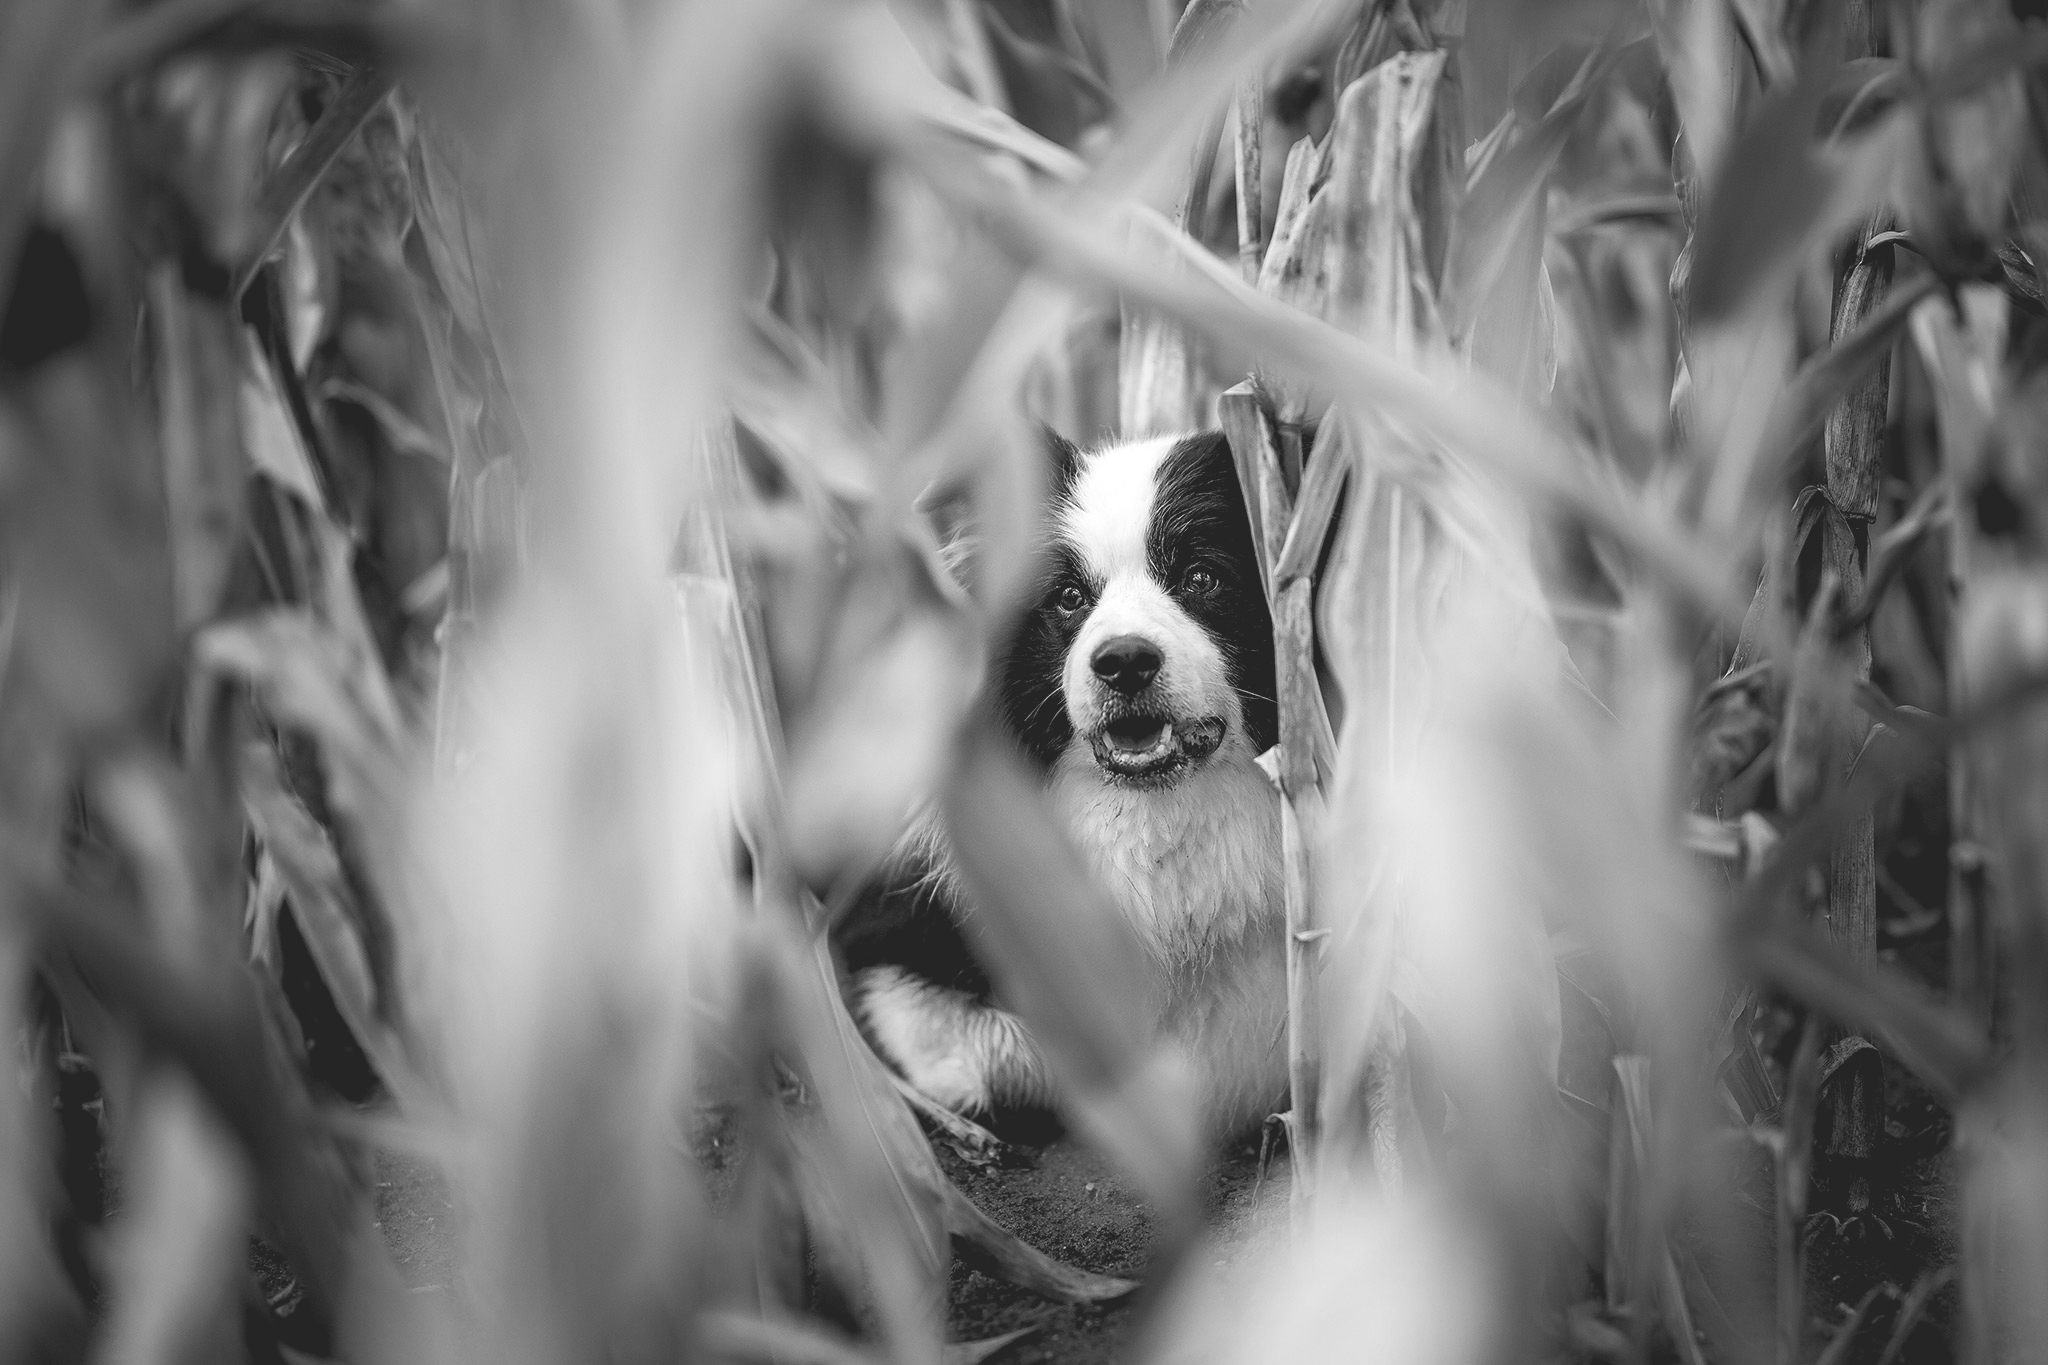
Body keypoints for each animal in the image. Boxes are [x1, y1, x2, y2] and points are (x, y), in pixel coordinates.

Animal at [827, 431, 1277, 1137]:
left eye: (1202, 578)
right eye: (1068, 597)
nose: (1123, 662)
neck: (1154, 818)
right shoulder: (888, 934)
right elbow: (1005, 1050)